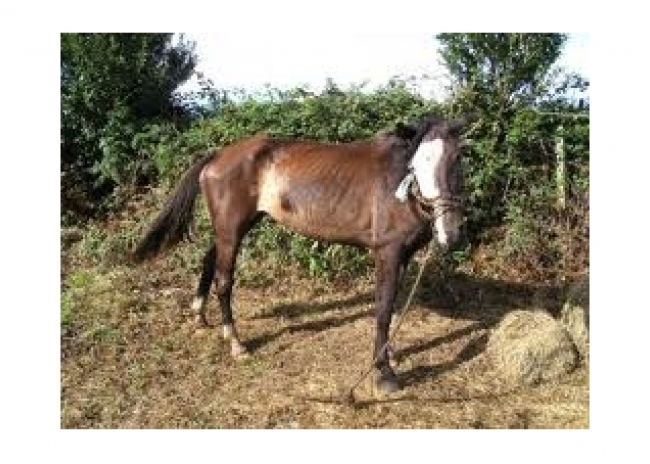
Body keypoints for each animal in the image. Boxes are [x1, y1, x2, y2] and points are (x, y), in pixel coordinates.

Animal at [133, 115, 466, 393]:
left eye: (456, 158)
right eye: (417, 164)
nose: (450, 233)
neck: (398, 188)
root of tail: (216, 156)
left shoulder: (403, 257)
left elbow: (393, 305)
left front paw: (390, 354)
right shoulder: (388, 253)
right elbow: (383, 309)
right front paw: (384, 373)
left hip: (233, 228)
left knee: (208, 260)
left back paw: (200, 316)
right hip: (231, 229)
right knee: (224, 281)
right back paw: (236, 344)